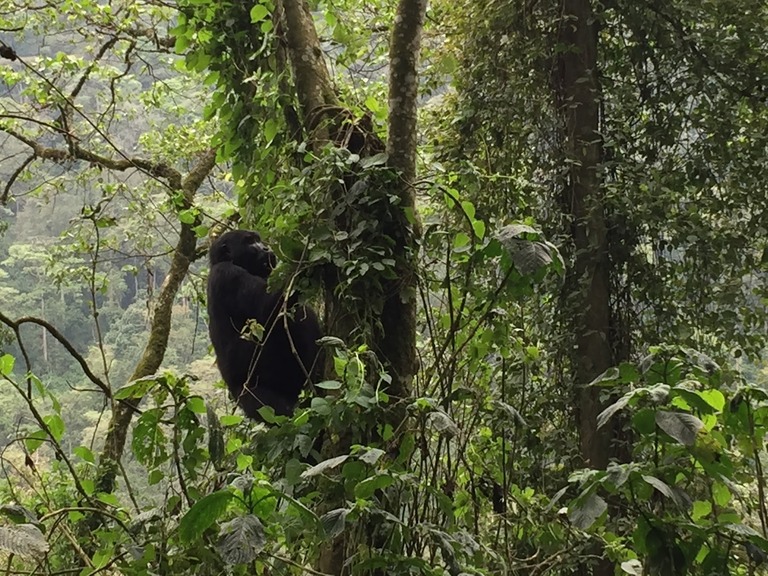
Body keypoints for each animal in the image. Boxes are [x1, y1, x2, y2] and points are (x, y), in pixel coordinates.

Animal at [206, 228, 322, 418]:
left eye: (258, 239)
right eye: (250, 242)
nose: (266, 248)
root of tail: (236, 391)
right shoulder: (228, 274)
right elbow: (269, 309)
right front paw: (304, 256)